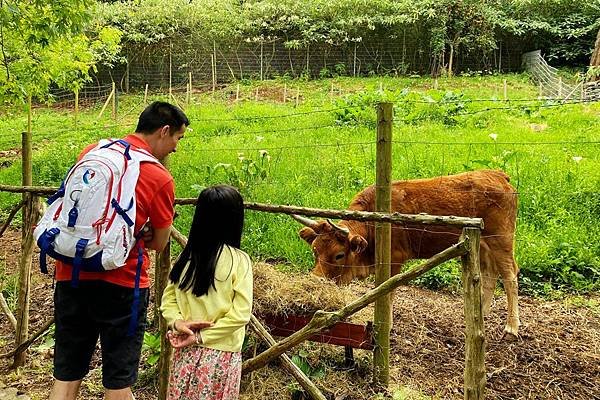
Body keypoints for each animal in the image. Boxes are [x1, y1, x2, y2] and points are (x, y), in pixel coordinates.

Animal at [296, 169, 520, 338]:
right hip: (482, 245)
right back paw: (482, 312)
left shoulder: (393, 261)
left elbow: (386, 293)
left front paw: (386, 325)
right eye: (315, 251)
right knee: (489, 274)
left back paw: (512, 327)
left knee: (510, 275)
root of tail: (498, 175)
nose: (316, 280)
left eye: (339, 255)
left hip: (501, 241)